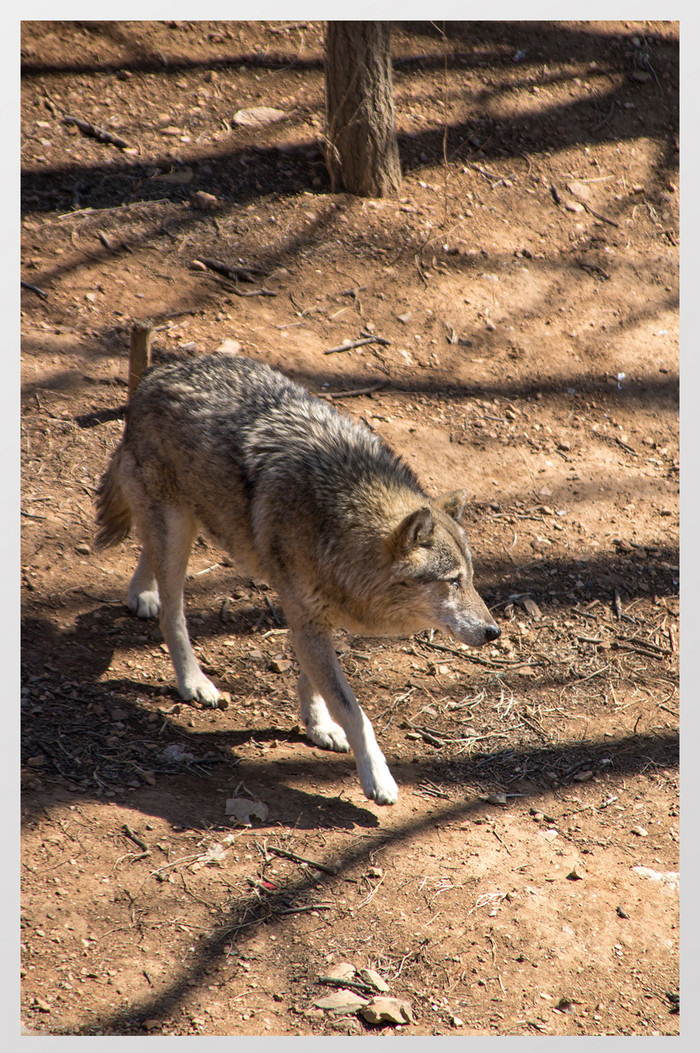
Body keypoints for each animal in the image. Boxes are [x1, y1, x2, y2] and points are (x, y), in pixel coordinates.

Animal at [95, 353, 498, 804]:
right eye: (452, 580)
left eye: (471, 578)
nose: (493, 632)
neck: (339, 524)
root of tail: (157, 372)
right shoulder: (306, 620)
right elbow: (354, 711)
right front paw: (377, 777)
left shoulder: (318, 621)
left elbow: (315, 684)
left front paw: (318, 726)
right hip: (179, 530)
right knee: (174, 613)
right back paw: (193, 681)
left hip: (183, 524)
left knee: (148, 551)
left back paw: (142, 593)